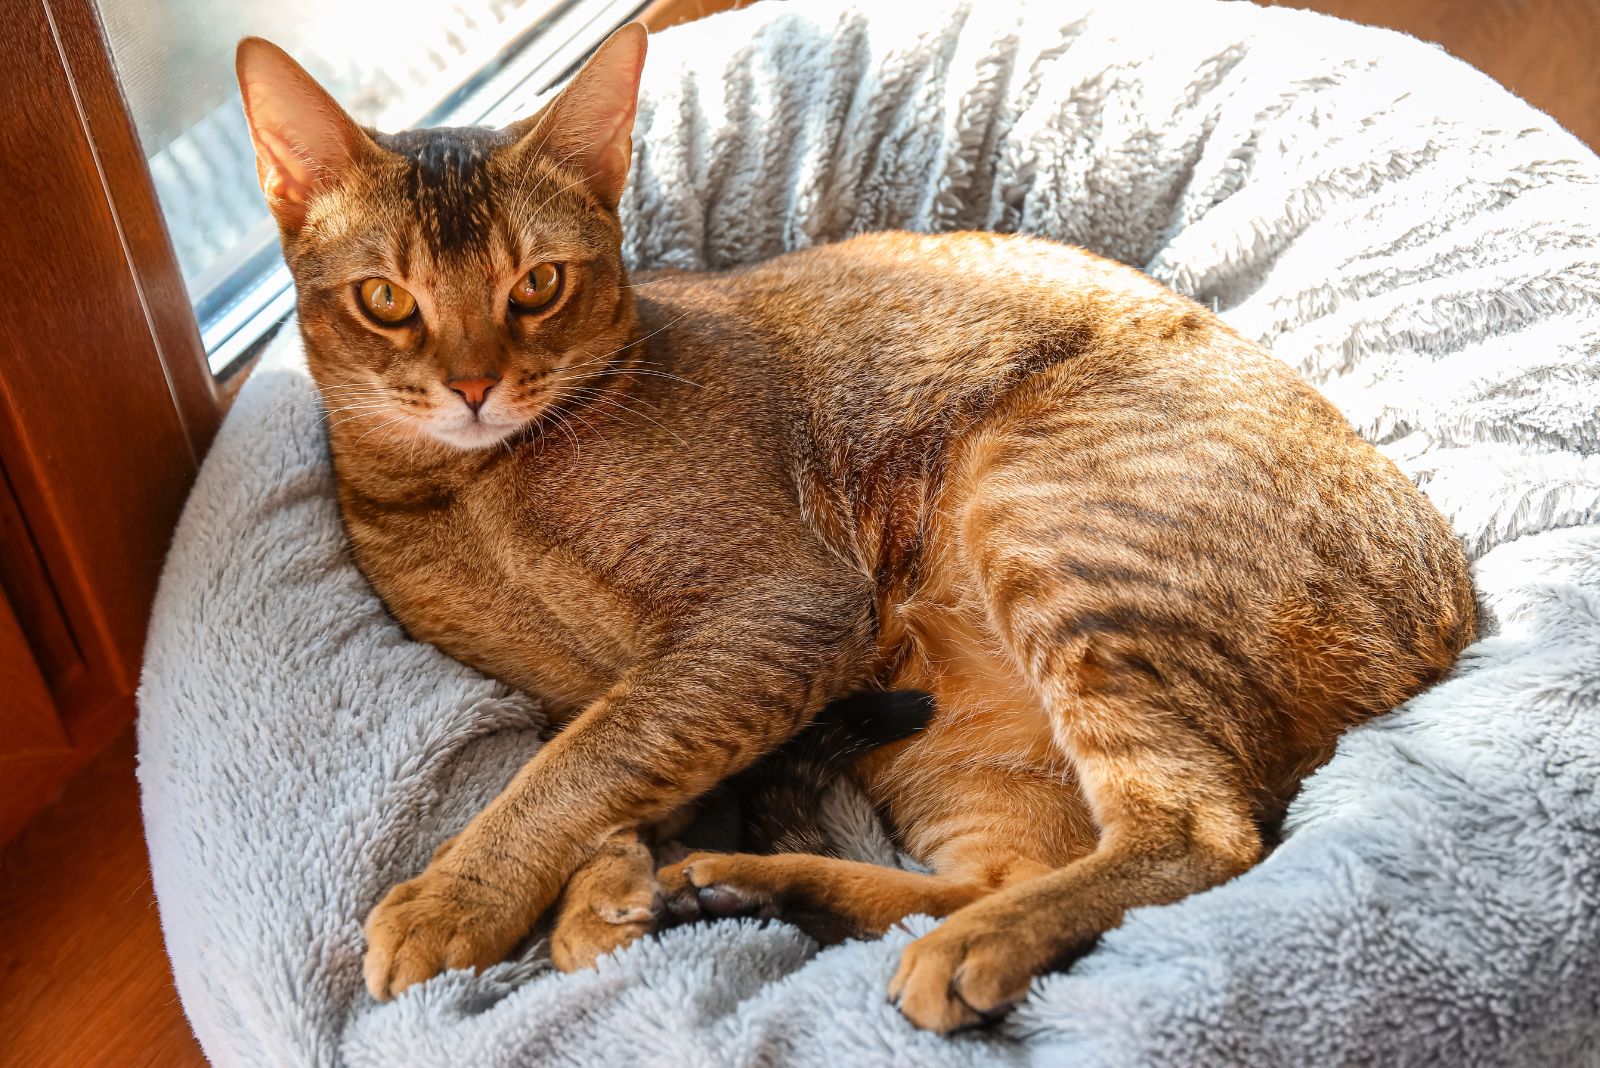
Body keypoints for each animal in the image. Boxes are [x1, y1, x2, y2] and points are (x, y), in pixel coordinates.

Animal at [236, 20, 1472, 1029]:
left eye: (537, 284)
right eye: (386, 301)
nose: (473, 386)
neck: (472, 489)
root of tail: (1453, 614)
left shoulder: (779, 608)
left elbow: (580, 765)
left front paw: (461, 896)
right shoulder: (600, 683)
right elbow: (610, 763)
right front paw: (606, 888)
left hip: (1053, 532)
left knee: (1198, 836)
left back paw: (955, 949)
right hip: (961, 750)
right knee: (990, 874)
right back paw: (748, 885)